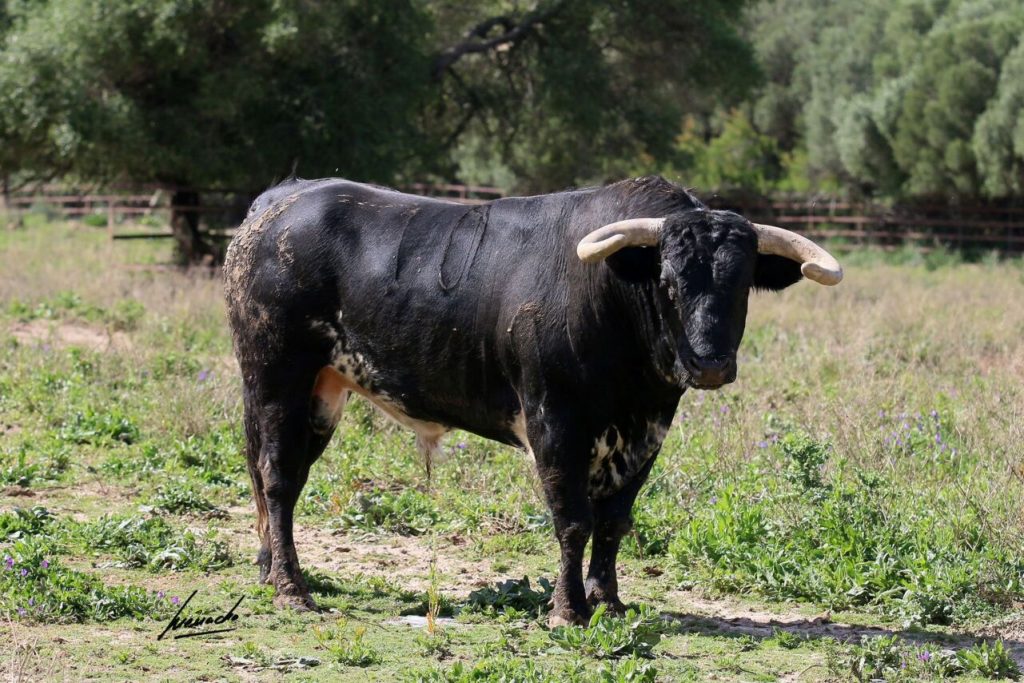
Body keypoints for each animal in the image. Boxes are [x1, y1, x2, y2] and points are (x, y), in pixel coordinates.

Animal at [224, 175, 839, 626]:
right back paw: (292, 589)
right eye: (668, 281)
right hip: (275, 377)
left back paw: (269, 569)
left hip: (321, 392)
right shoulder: (554, 422)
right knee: (277, 477)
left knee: (280, 475)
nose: (710, 364)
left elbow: (614, 520)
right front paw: (568, 610)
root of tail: (282, 199)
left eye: (740, 286)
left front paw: (608, 602)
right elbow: (573, 520)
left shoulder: (648, 430)